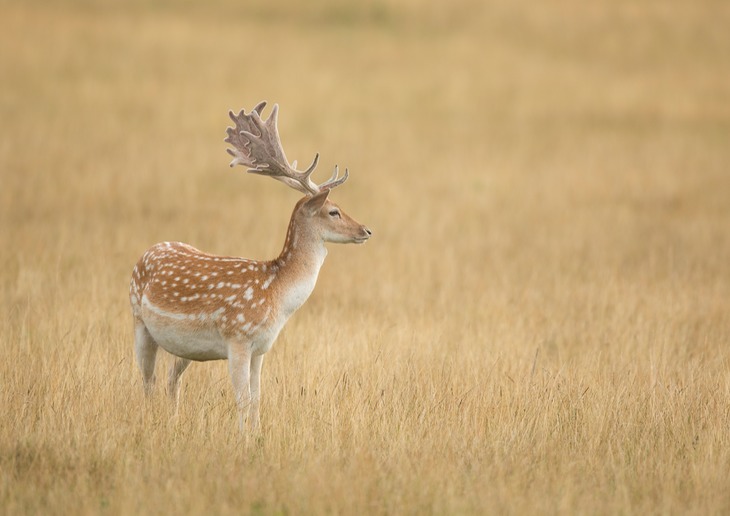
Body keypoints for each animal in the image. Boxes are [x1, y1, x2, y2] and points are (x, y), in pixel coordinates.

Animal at [126, 103, 372, 430]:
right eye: (334, 211)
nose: (366, 230)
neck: (276, 294)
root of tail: (147, 251)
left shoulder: (261, 348)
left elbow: (256, 399)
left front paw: (257, 434)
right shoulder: (238, 339)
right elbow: (242, 400)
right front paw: (242, 437)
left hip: (183, 347)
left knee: (169, 379)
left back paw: (173, 420)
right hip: (139, 321)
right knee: (146, 380)